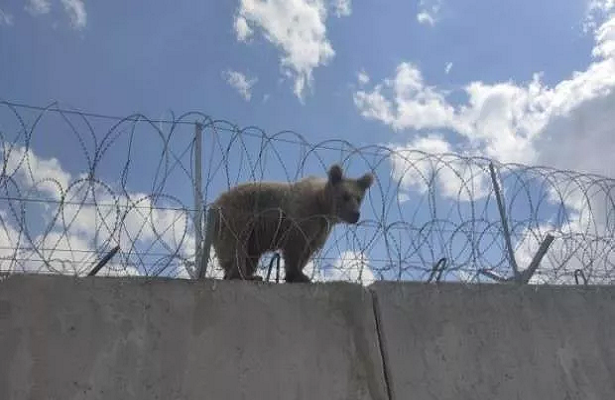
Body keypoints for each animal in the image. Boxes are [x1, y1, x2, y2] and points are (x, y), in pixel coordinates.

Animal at [205, 164, 372, 282]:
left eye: (358, 198)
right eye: (345, 196)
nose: (355, 214)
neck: (322, 206)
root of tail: (216, 202)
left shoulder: (321, 228)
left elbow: (309, 249)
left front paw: (301, 274)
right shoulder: (303, 214)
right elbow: (295, 244)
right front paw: (298, 275)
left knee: (250, 254)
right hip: (237, 218)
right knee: (235, 246)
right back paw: (242, 275)